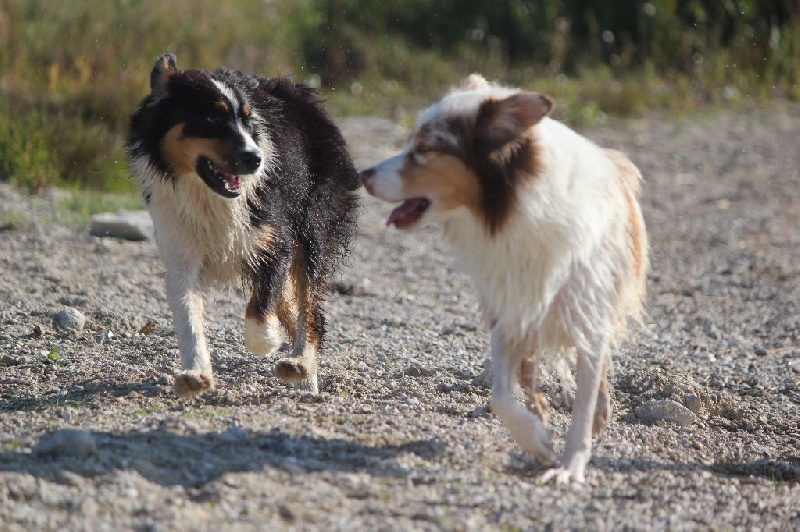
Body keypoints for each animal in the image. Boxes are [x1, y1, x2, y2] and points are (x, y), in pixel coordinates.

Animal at [127, 54, 360, 396]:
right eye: (211, 119)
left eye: (249, 122)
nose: (255, 158)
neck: (209, 196)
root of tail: (300, 94)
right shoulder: (181, 252)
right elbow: (188, 318)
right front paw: (195, 374)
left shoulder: (275, 242)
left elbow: (260, 310)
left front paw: (267, 340)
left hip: (313, 228)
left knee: (310, 310)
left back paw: (300, 366)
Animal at [360, 75, 648, 482]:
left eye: (425, 149)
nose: (362, 175)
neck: (516, 210)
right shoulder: (507, 308)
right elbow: (499, 396)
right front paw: (537, 438)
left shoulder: (588, 315)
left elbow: (583, 402)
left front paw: (569, 467)